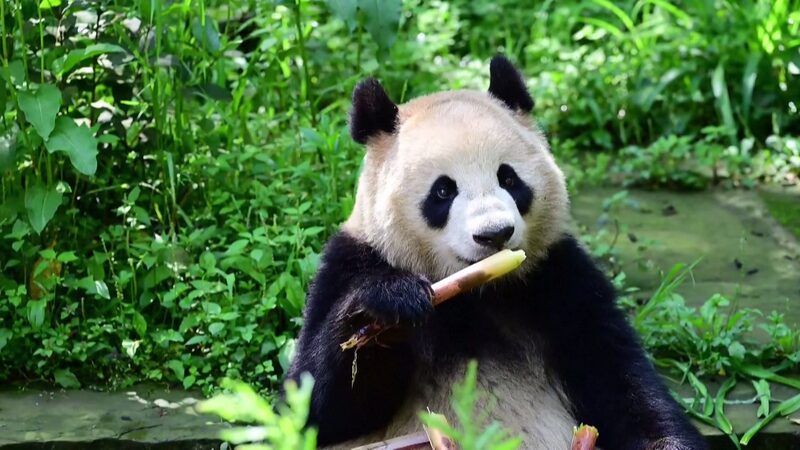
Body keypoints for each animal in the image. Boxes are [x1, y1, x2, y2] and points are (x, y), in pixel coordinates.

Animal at [286, 56, 707, 450]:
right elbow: (319, 410)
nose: (494, 234)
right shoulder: (348, 263)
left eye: (509, 178)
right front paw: (391, 304)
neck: (476, 292)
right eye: (443, 190)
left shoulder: (560, 278)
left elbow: (621, 385)